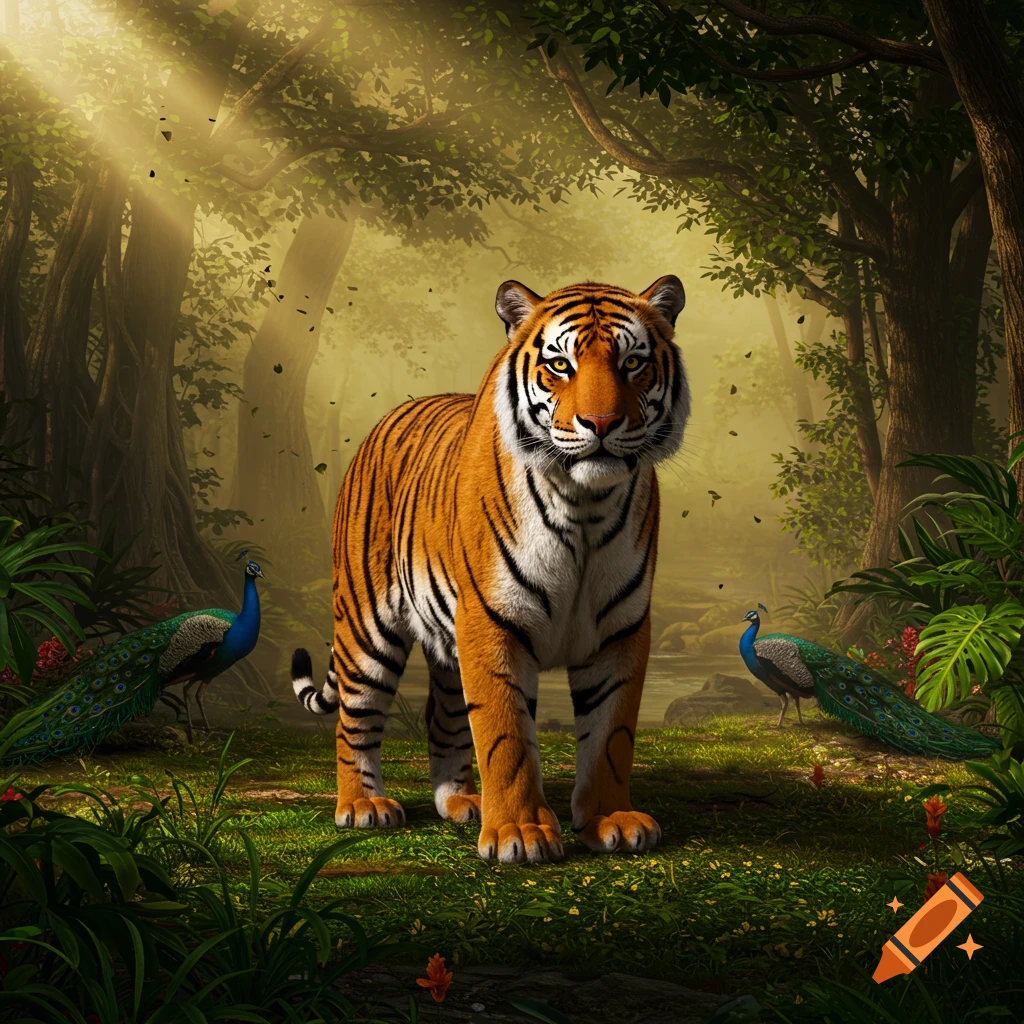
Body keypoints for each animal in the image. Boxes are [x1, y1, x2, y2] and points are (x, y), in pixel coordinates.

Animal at [291, 275, 690, 864]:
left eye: (633, 362)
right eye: (561, 365)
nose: (601, 423)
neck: (585, 505)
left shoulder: (620, 631)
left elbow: (611, 735)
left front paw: (612, 820)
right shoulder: (491, 621)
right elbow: (505, 735)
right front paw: (519, 833)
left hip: (445, 641)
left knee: (443, 716)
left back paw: (461, 801)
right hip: (367, 628)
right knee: (354, 718)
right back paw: (362, 806)